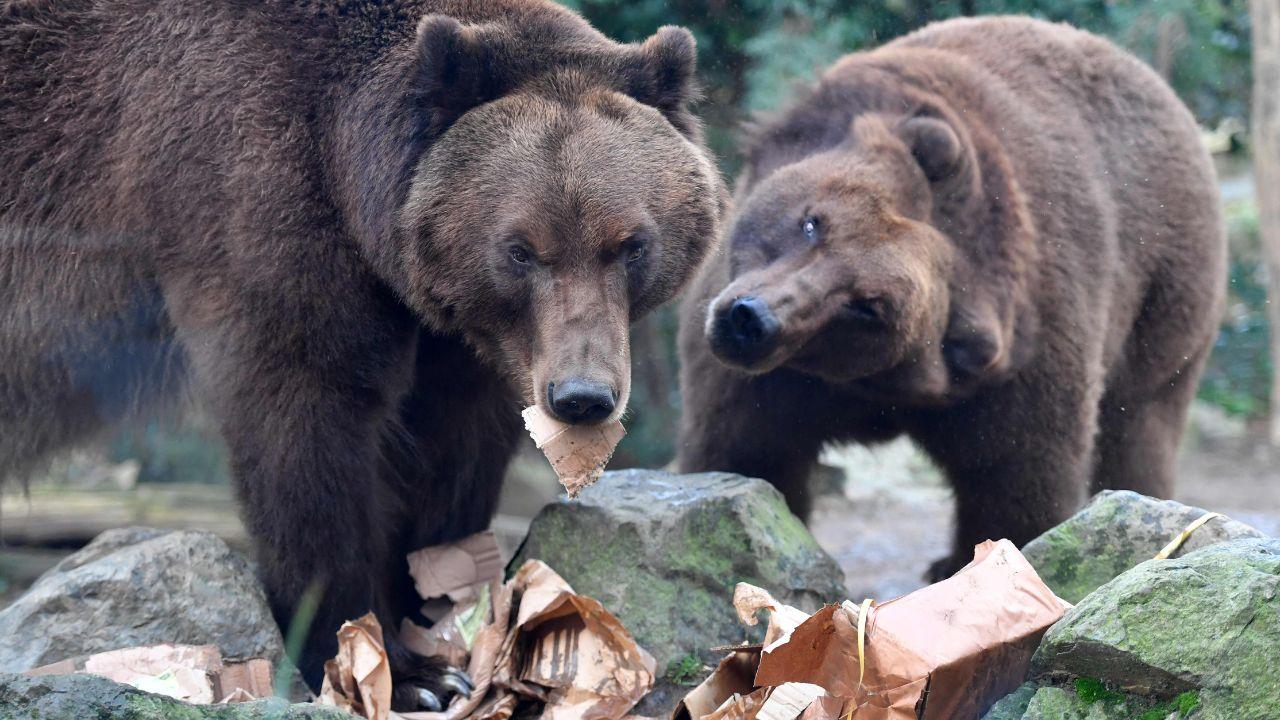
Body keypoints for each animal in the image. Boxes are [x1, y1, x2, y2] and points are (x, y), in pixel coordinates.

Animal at [0, 0, 724, 709]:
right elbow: (309, 427)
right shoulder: (250, 191)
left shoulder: (457, 329)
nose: (581, 397)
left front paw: (440, 620)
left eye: (631, 245)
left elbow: (450, 445)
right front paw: (392, 669)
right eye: (521, 249)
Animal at [676, 15, 1225, 581]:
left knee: (1138, 430)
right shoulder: (765, 377)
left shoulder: (1021, 361)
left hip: (1163, 303)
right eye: (813, 222)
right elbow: (748, 452)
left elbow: (1019, 482)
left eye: (865, 304)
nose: (751, 319)